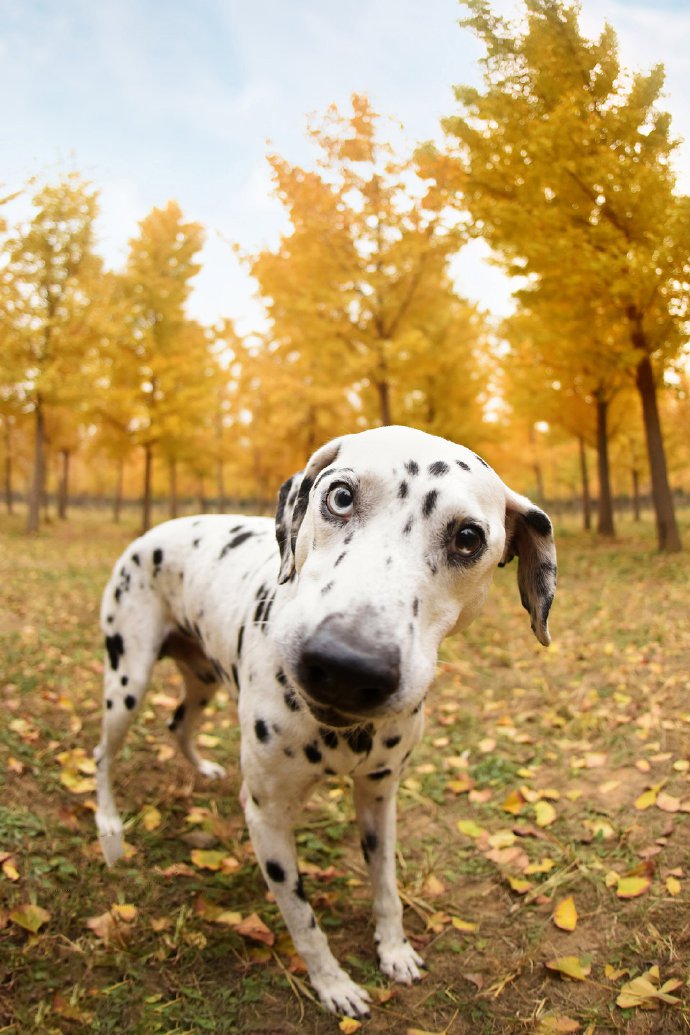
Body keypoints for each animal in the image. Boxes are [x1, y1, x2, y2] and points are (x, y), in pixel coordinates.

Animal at [94, 422, 554, 1018]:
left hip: (203, 680)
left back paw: (200, 769)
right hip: (126, 682)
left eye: (469, 538)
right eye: (339, 496)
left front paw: (394, 949)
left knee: (179, 724)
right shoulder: (267, 818)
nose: (346, 665)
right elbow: (302, 919)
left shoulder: (380, 796)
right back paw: (109, 829)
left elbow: (385, 887)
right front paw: (332, 983)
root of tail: (155, 531)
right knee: (103, 754)